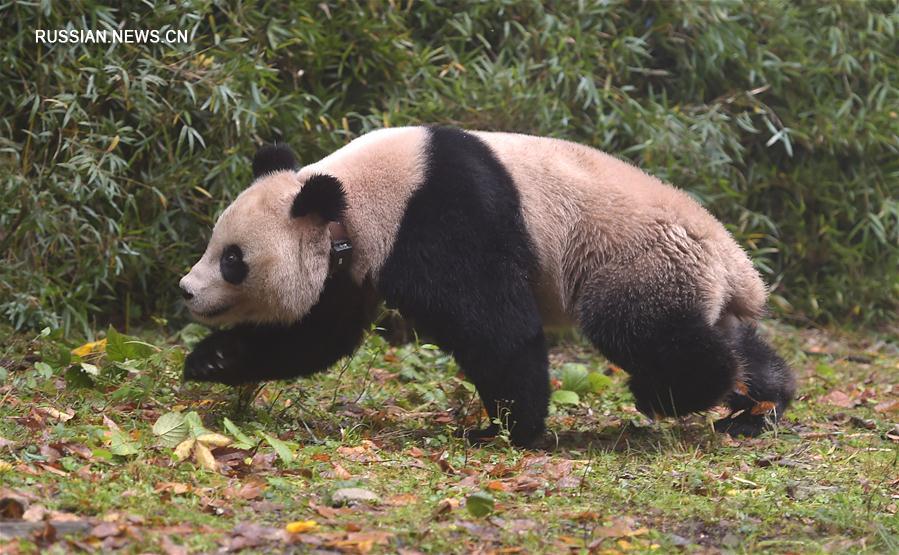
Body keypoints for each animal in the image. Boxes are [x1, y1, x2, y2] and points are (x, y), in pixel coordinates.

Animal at [179, 126, 800, 448]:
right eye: (215, 244)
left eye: (233, 260)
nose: (186, 289)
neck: (351, 196)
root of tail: (737, 266)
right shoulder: (352, 263)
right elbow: (319, 335)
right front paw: (211, 361)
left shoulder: (439, 215)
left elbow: (494, 326)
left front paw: (509, 430)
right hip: (684, 278)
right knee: (722, 334)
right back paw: (760, 404)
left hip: (634, 260)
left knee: (644, 332)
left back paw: (673, 396)